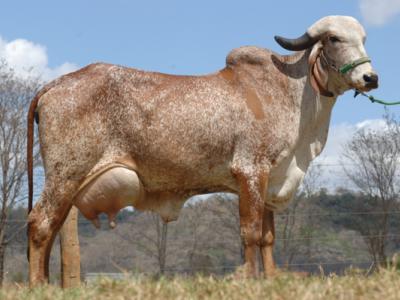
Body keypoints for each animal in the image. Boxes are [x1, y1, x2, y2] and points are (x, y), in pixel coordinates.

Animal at [27, 15, 378, 286]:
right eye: (334, 38)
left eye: (363, 39)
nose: (370, 77)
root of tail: (55, 84)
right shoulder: (250, 171)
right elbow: (250, 232)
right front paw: (249, 279)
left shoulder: (271, 179)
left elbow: (268, 237)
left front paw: (269, 278)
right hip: (64, 175)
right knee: (40, 225)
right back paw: (38, 285)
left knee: (52, 228)